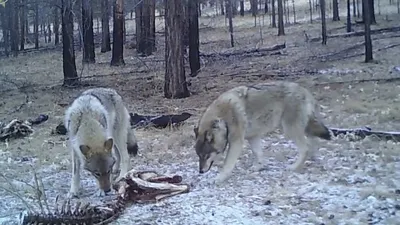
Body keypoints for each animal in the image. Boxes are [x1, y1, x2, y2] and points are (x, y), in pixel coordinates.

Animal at [194, 81, 332, 184]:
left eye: (205, 156)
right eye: (198, 156)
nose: (200, 171)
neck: (222, 119)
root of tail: (306, 91)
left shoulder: (236, 142)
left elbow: (227, 164)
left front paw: (219, 178)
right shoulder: (253, 137)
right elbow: (258, 153)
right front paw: (259, 167)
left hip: (289, 130)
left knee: (306, 147)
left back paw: (294, 167)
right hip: (304, 128)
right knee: (313, 141)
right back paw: (314, 158)